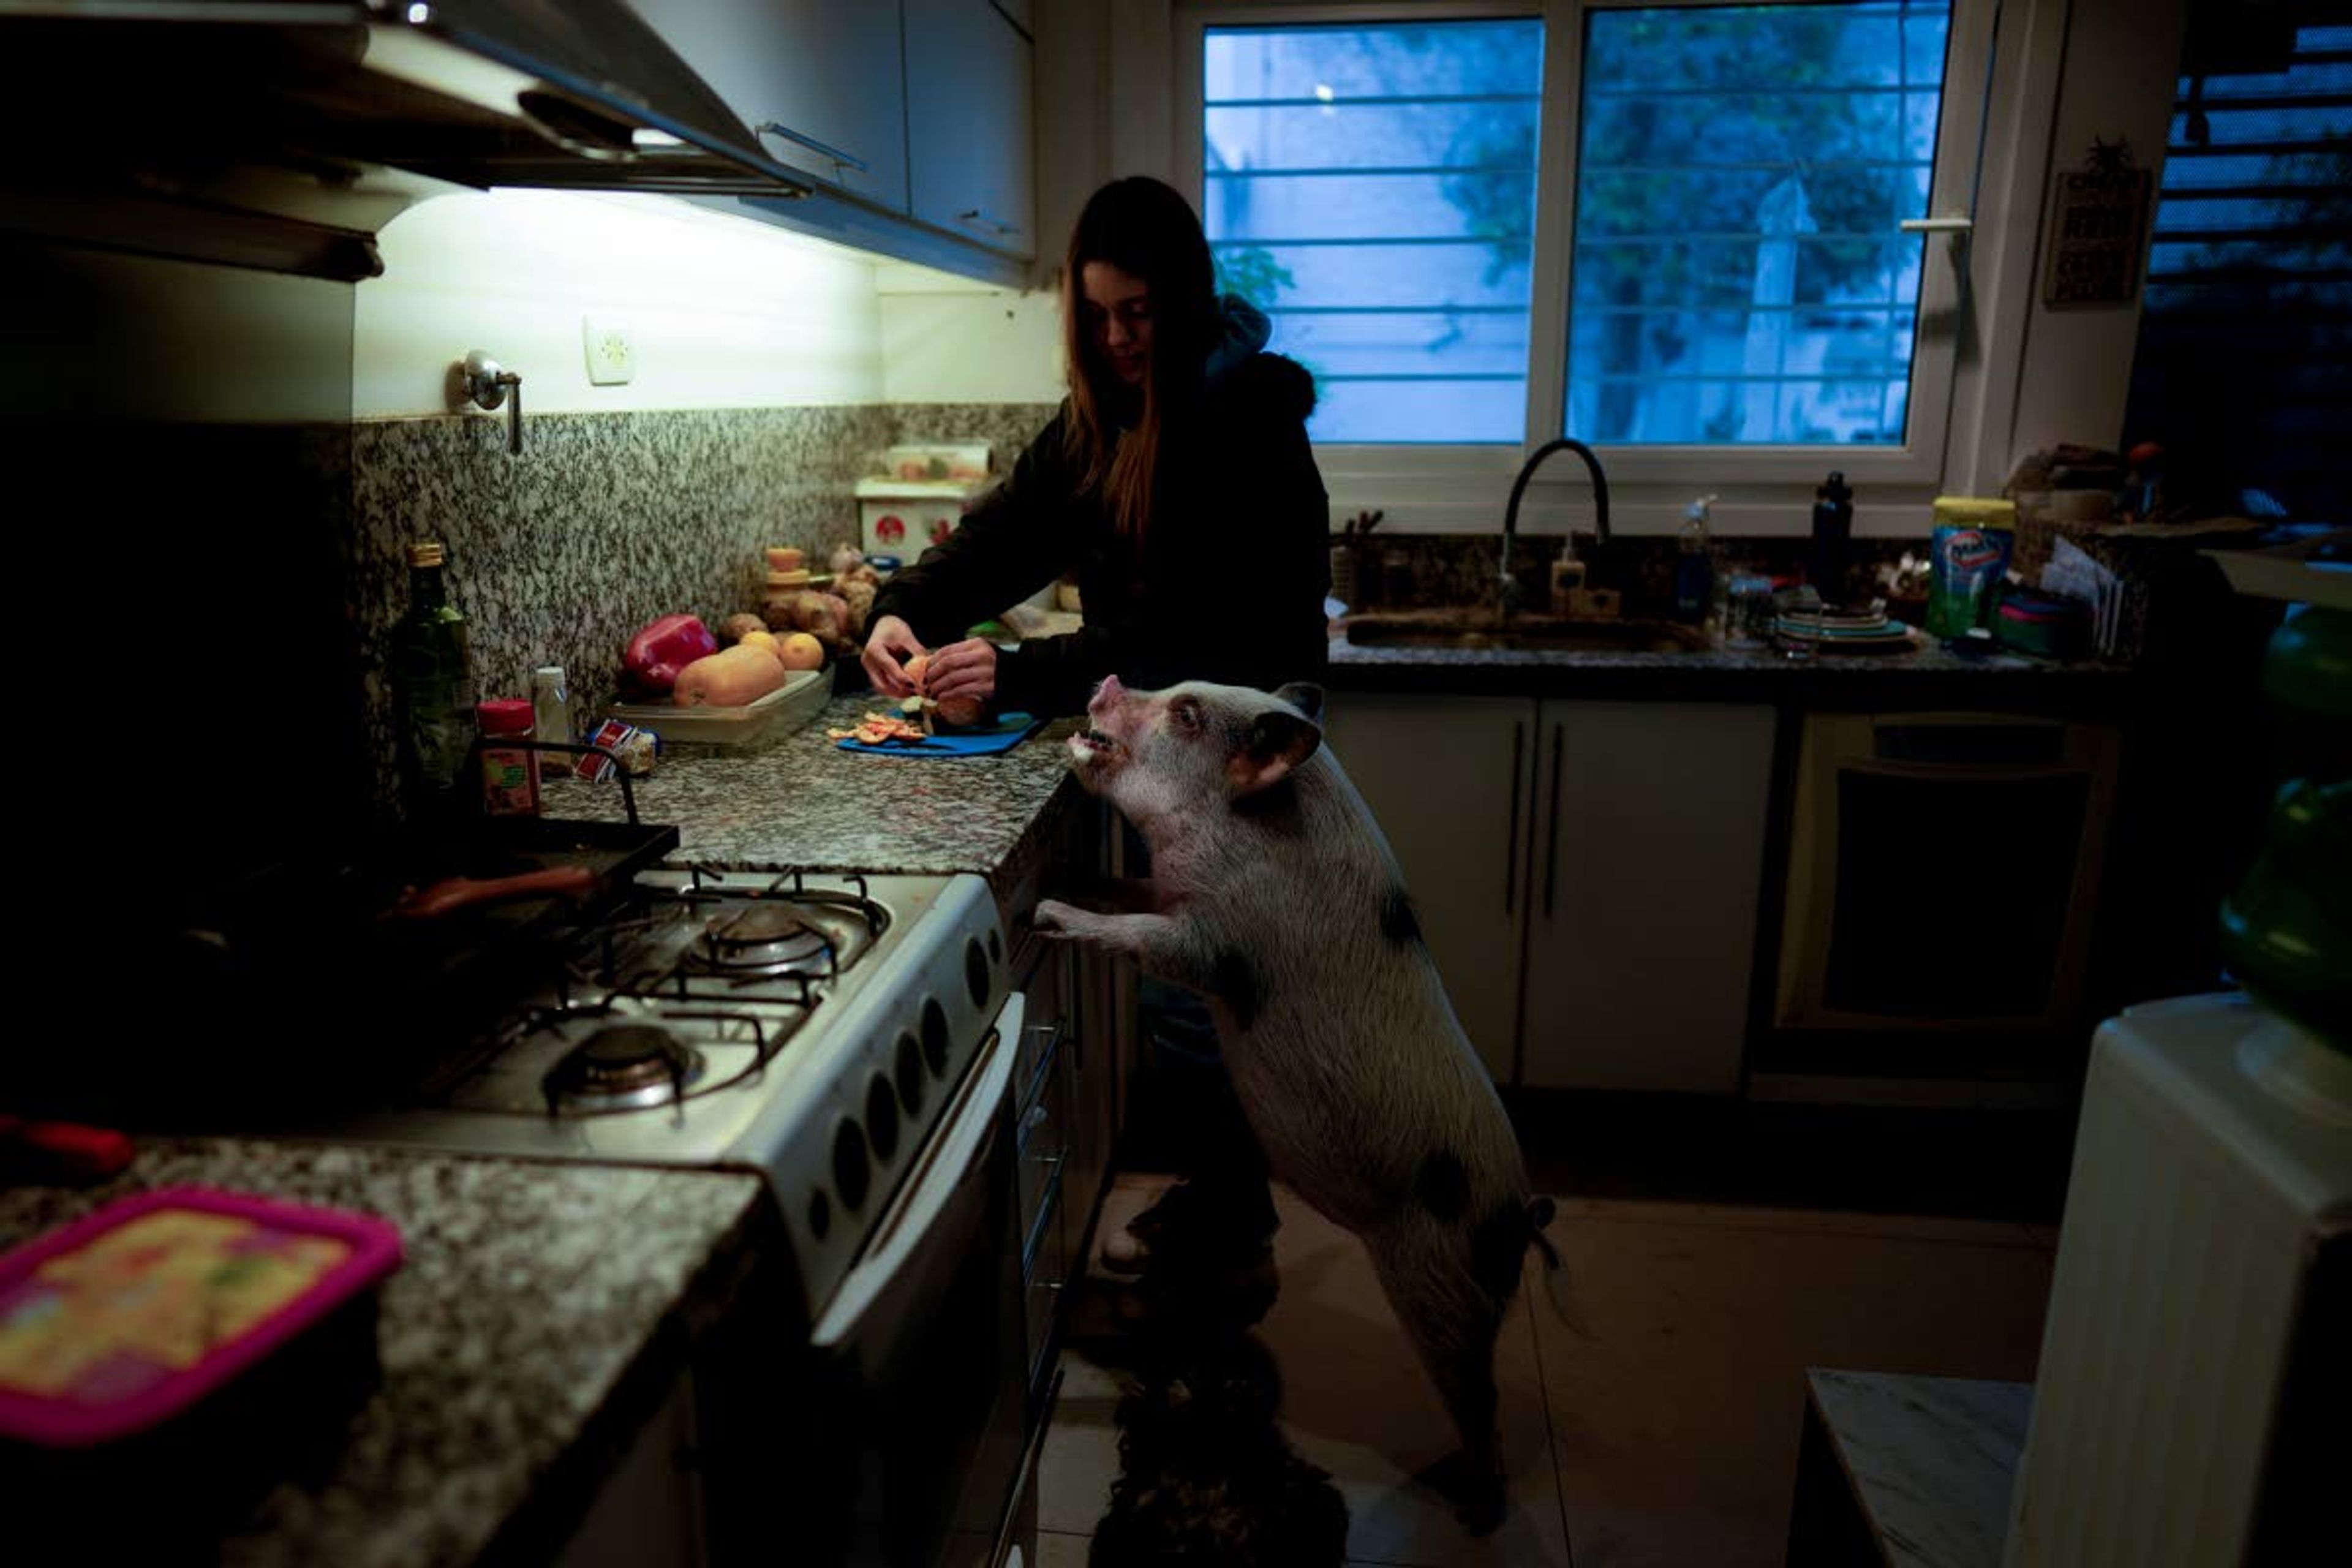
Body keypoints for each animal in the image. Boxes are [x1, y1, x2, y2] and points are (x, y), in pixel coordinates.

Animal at [1035, 677, 1571, 1532]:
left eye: (1187, 714)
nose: (1110, 682)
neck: (1236, 834)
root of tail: (1517, 1217)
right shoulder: (1172, 887)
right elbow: (1131, 891)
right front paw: (1073, 876)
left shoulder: (1219, 943)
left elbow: (1147, 936)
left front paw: (1049, 912)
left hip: (1443, 1289)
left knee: (1477, 1400)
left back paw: (1473, 1508)